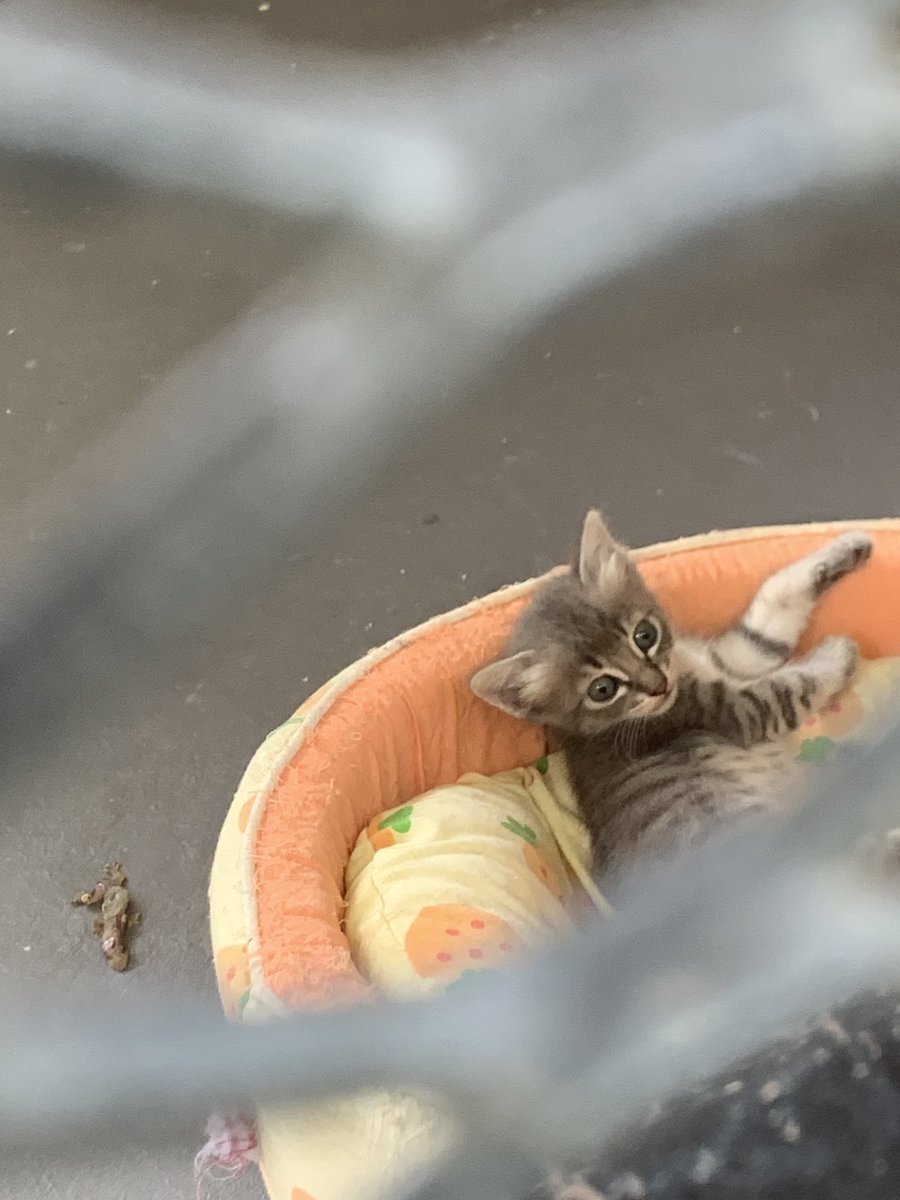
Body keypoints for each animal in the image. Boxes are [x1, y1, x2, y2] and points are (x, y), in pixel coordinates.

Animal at [472, 511, 873, 888]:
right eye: (602, 690)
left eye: (644, 635)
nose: (658, 685)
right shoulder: (740, 711)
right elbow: (792, 686)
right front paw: (839, 653)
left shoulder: (735, 658)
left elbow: (773, 608)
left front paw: (846, 547)